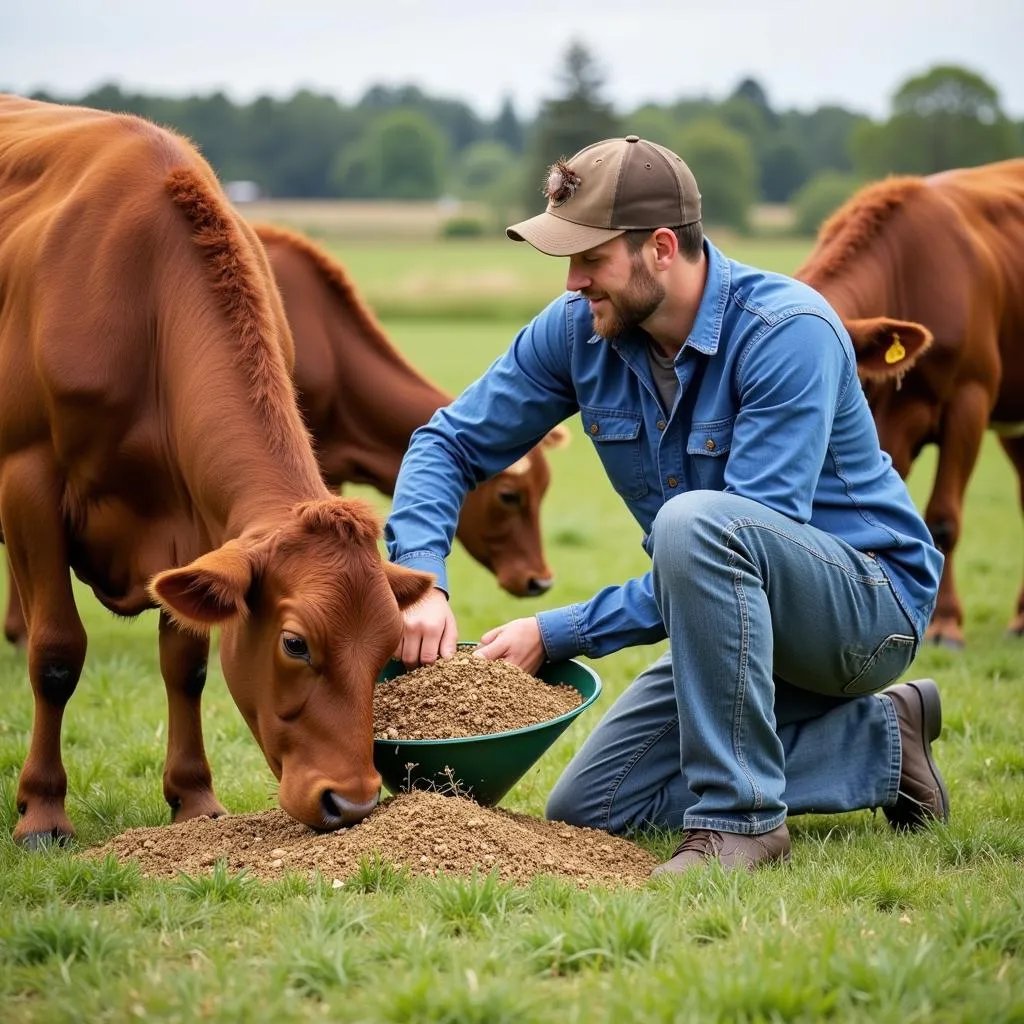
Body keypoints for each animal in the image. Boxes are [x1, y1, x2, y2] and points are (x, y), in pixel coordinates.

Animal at [0, 96, 434, 847]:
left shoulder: (197, 526)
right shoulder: (27, 481)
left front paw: (194, 798)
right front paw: (42, 811)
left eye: (388, 652)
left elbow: (188, 663)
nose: (351, 803)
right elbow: (55, 654)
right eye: (295, 644)